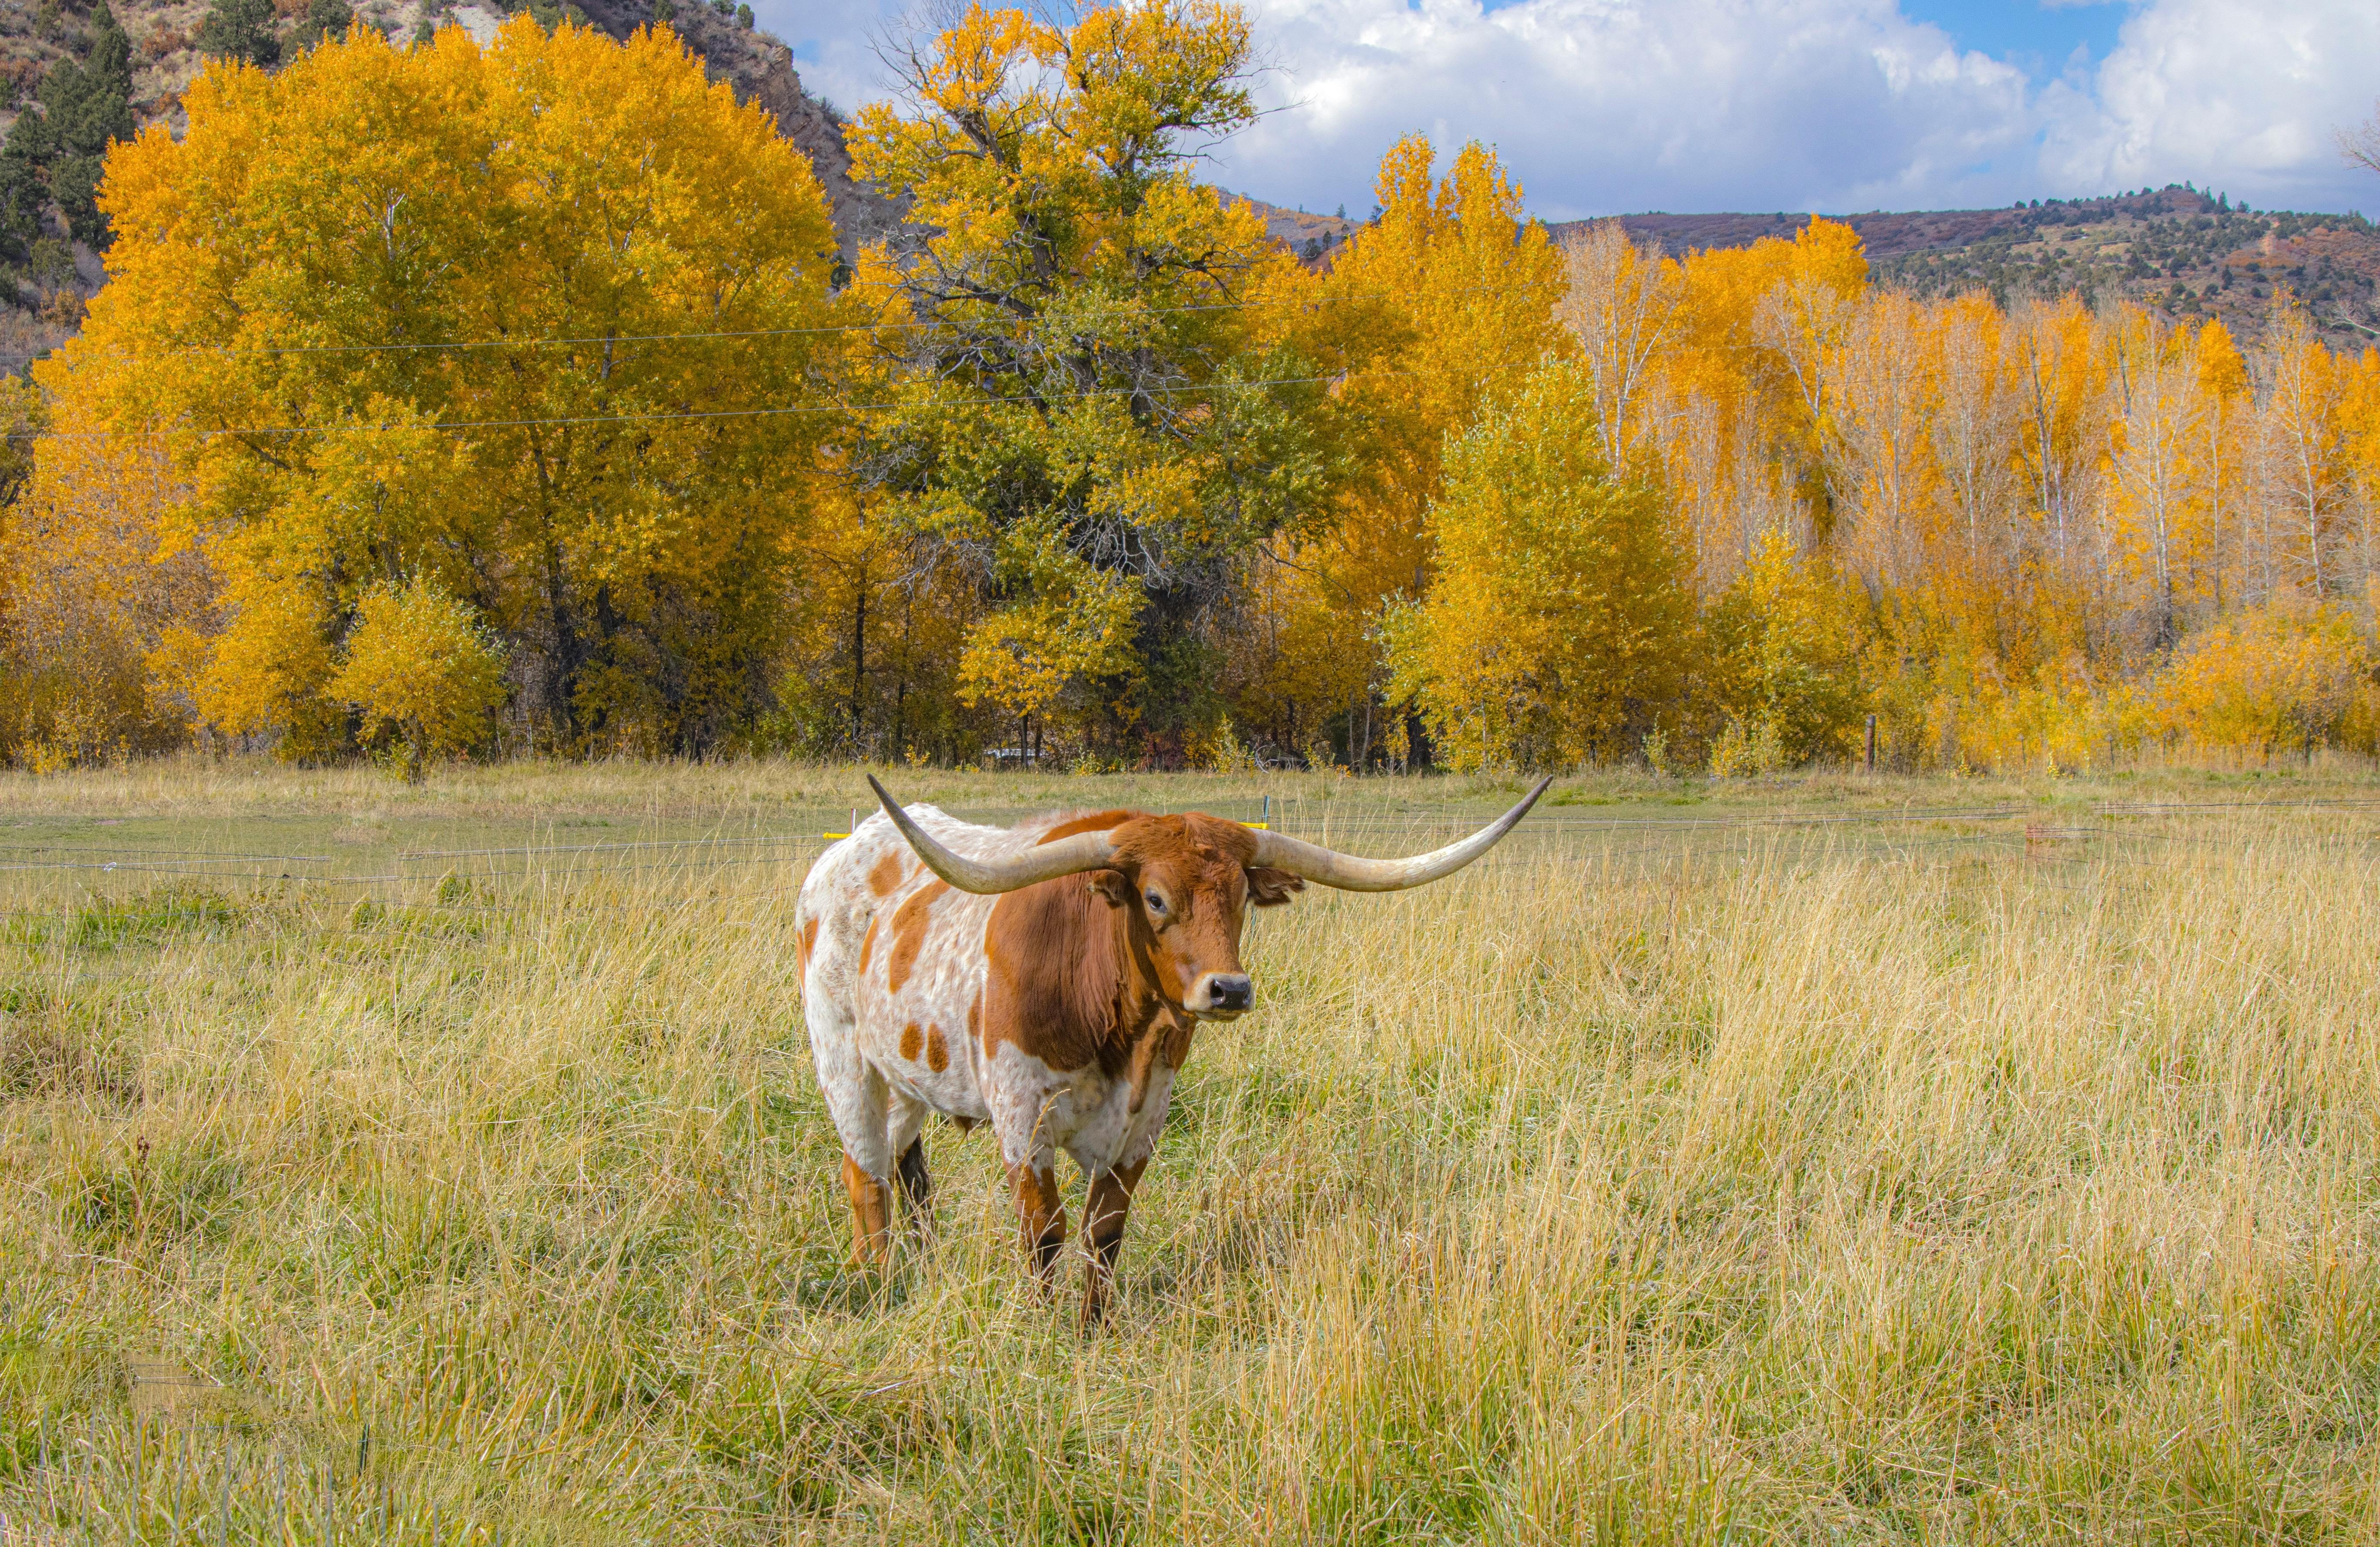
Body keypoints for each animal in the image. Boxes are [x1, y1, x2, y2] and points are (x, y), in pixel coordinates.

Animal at [790, 771, 1552, 1314]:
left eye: (1242, 897)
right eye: (1154, 899)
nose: (1230, 990)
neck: (1114, 1028)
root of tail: (844, 853)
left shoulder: (1145, 1121)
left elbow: (1104, 1233)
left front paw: (1092, 1331)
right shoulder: (1020, 1114)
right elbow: (1046, 1230)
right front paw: (1041, 1329)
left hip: (907, 1074)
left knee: (902, 1165)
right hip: (843, 1059)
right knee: (865, 1173)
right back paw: (878, 1280)